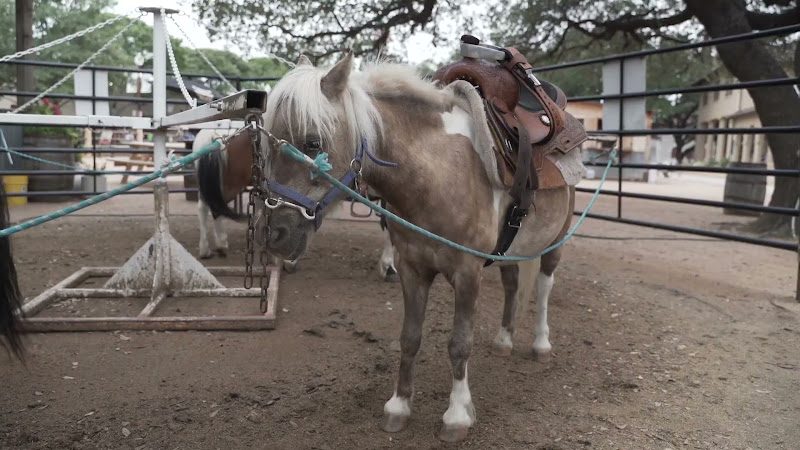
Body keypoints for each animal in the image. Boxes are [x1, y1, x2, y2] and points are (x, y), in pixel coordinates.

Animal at [194, 128, 399, 280]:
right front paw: (388, 267)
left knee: (210, 208)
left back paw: (215, 246)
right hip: (230, 184)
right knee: (210, 208)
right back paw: (213, 246)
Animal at [260, 53, 577, 442]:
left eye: (312, 143)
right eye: (270, 146)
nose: (276, 234)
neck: (438, 172)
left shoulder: (467, 273)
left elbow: (459, 344)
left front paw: (456, 415)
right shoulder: (412, 269)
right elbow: (409, 338)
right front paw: (398, 407)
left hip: (555, 242)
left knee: (545, 287)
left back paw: (541, 344)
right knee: (512, 284)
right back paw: (504, 340)